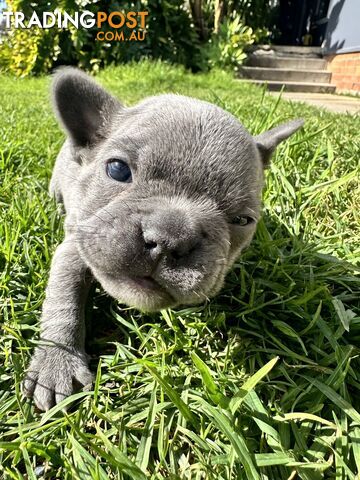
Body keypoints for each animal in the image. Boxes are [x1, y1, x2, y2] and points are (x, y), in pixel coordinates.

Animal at [23, 68, 304, 412]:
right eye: (117, 170)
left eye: (242, 220)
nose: (171, 238)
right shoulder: (75, 244)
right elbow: (64, 300)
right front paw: (57, 361)